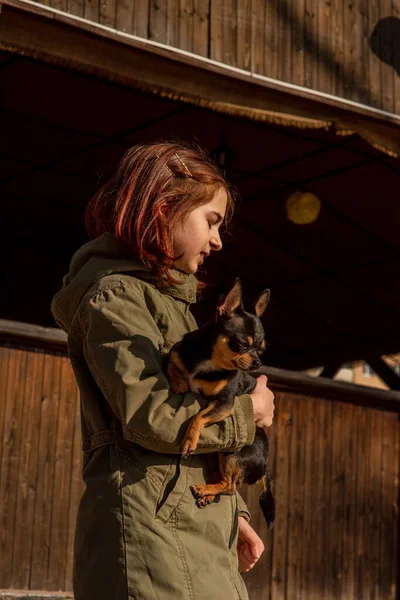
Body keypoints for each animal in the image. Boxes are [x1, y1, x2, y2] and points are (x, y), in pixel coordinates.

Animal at [166, 278, 276, 528]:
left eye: (262, 349)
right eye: (241, 344)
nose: (258, 362)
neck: (211, 362)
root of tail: (265, 464)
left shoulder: (225, 404)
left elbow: (199, 416)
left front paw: (189, 441)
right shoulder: (176, 354)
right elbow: (172, 364)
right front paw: (179, 383)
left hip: (232, 453)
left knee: (231, 487)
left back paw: (205, 489)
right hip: (216, 454)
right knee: (222, 479)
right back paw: (208, 491)